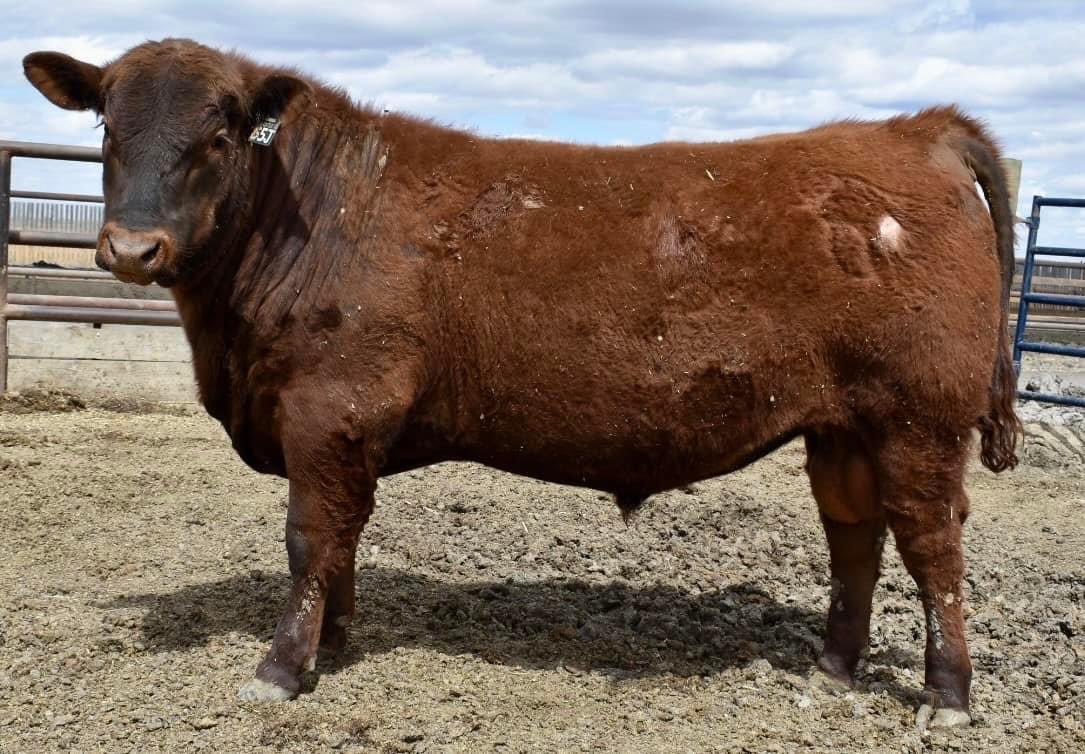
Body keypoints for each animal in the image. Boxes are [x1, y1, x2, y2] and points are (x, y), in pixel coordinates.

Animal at [24, 38, 1020, 728]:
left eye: (221, 130)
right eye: (107, 125)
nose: (131, 248)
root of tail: (912, 132)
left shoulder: (329, 408)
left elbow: (311, 538)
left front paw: (280, 668)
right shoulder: (342, 432)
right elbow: (343, 539)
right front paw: (336, 641)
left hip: (920, 418)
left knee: (932, 545)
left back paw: (947, 695)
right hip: (843, 423)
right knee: (854, 535)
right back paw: (833, 664)